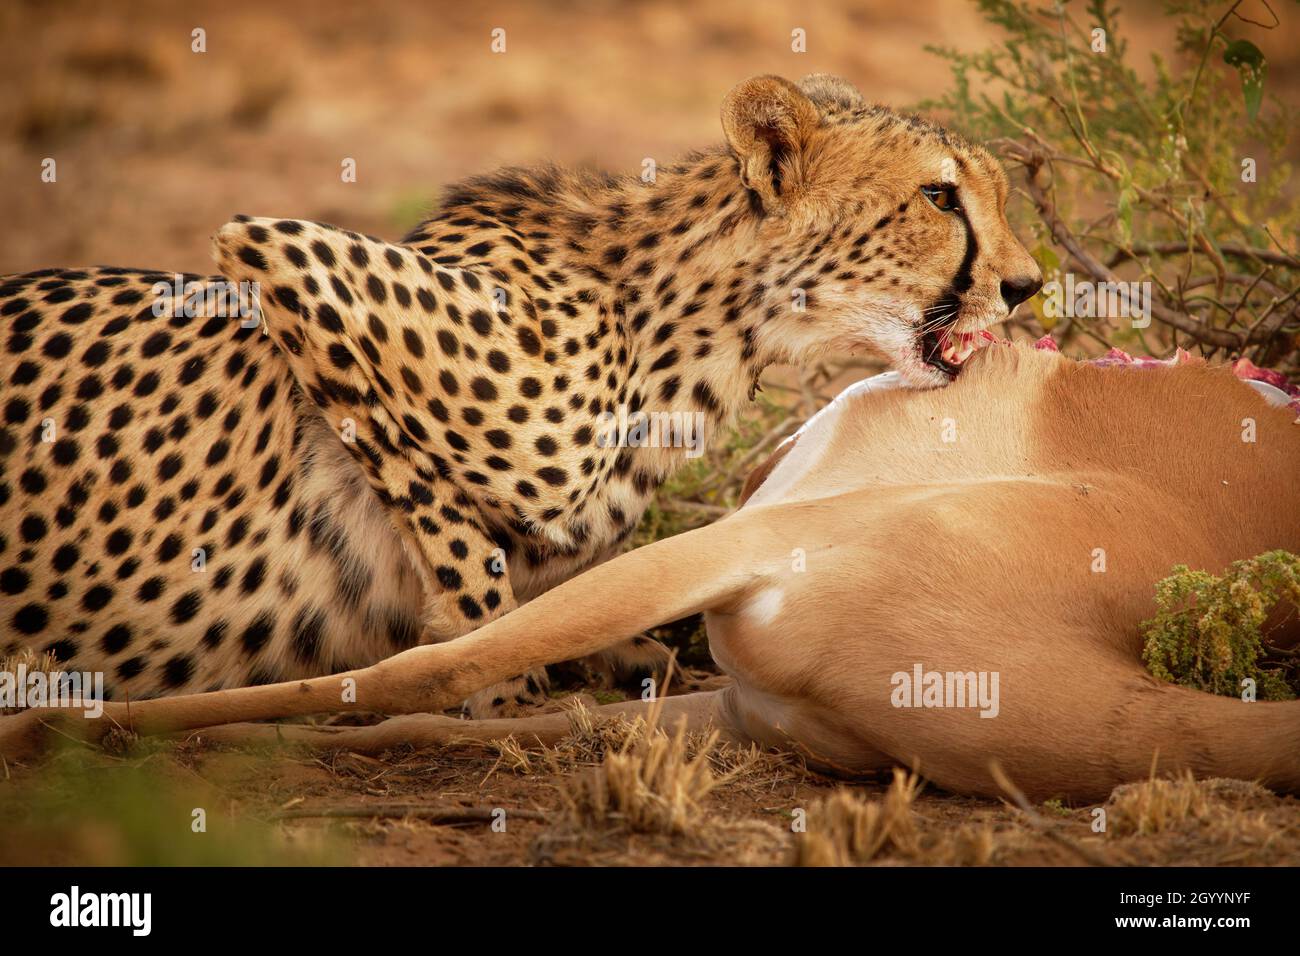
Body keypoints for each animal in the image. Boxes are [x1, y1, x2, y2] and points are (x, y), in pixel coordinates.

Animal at [0, 74, 1034, 712]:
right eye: (940, 198)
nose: (1026, 286)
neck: (692, 321)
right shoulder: (273, 249)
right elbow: (456, 536)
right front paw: (492, 676)